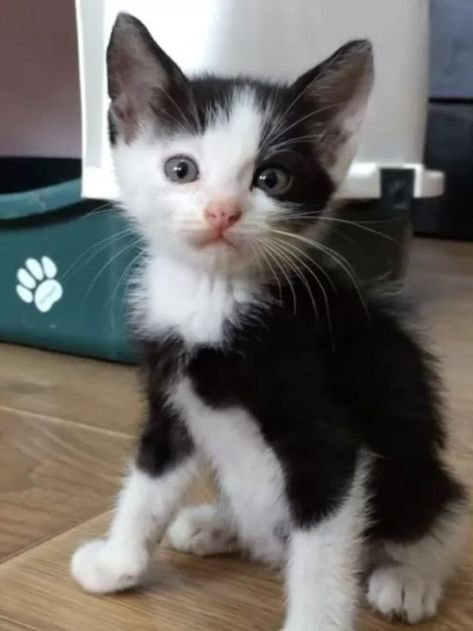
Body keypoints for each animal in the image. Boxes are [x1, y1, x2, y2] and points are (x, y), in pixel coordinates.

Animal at [72, 11, 466, 631]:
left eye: (272, 179)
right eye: (181, 169)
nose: (222, 212)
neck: (212, 299)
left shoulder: (325, 439)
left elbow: (322, 554)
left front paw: (317, 622)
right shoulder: (171, 402)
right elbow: (149, 483)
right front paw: (118, 563)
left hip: (415, 468)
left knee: (442, 512)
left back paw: (409, 576)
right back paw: (216, 525)